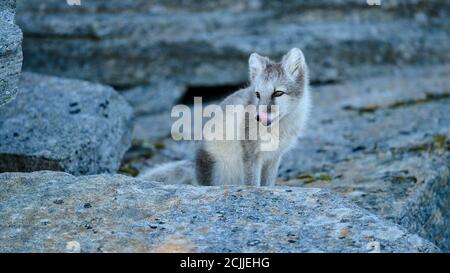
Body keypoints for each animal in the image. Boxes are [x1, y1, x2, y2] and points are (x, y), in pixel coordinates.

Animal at [139, 47, 312, 186]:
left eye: (278, 93)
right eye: (257, 94)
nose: (259, 117)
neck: (279, 129)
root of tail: (194, 167)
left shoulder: (274, 157)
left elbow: (268, 184)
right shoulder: (250, 154)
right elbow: (252, 183)